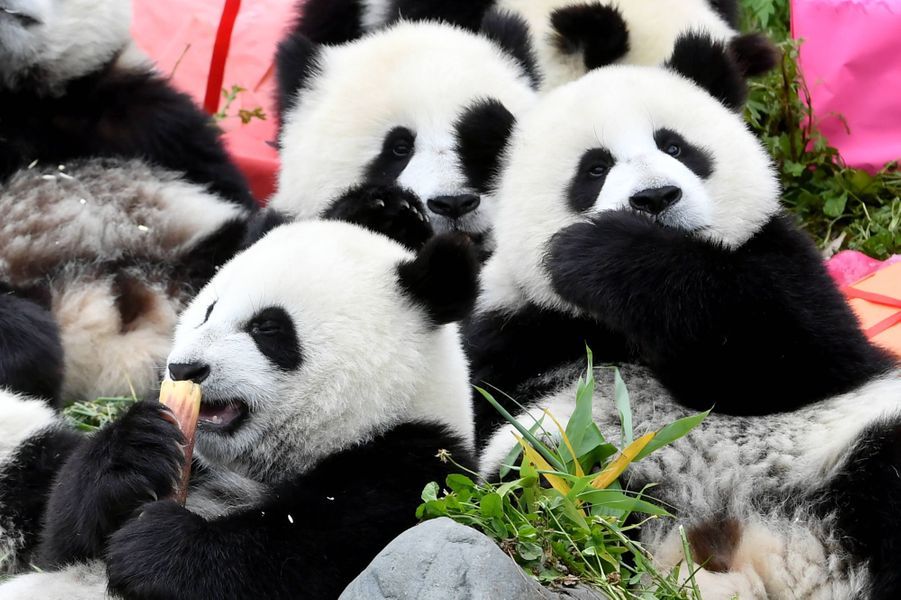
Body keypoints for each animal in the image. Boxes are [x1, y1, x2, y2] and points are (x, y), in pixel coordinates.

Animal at [0, 220, 478, 600]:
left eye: (267, 327)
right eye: (208, 311)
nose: (184, 368)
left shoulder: (411, 466)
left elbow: (301, 556)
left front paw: (156, 547)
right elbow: (56, 545)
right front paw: (132, 450)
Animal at [474, 38, 896, 600]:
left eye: (675, 147)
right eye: (594, 169)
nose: (655, 197)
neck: (611, 324)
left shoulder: (780, 253)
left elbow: (790, 354)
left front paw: (604, 251)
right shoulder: (510, 325)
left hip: (843, 441)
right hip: (580, 464)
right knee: (557, 488)